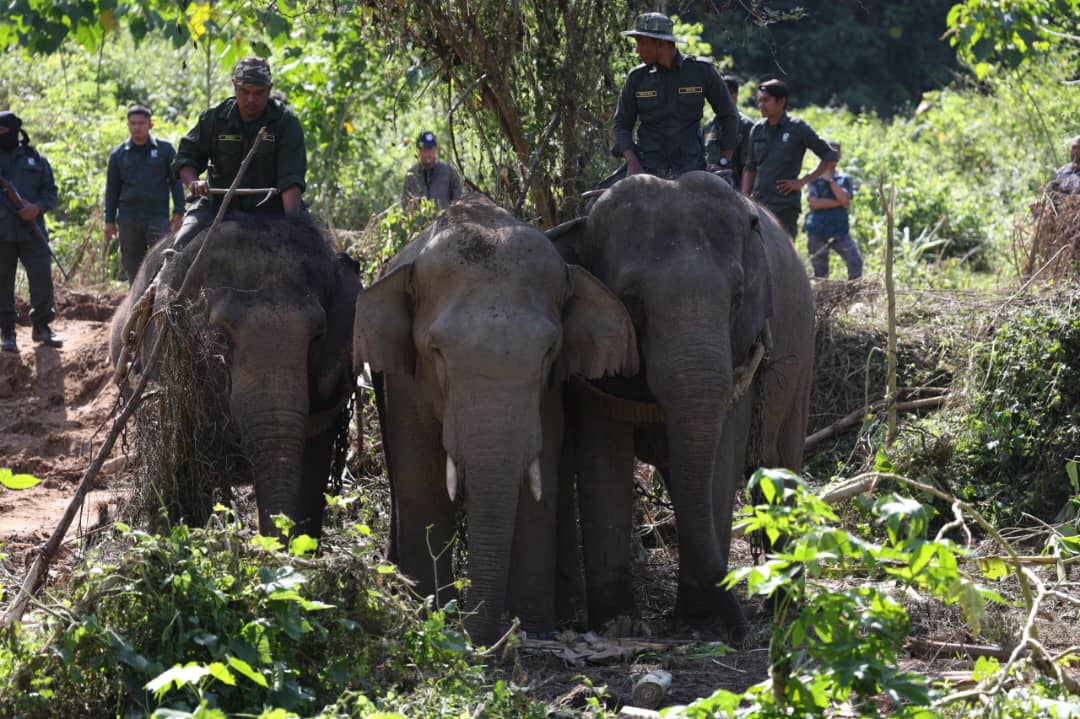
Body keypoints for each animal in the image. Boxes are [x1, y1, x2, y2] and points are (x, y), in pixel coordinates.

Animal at [358, 192, 635, 643]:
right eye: (436, 352)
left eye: (549, 351)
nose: (478, 635)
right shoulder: (405, 383)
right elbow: (421, 478)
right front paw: (430, 615)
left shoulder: (547, 394)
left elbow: (541, 480)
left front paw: (533, 628)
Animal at [548, 170, 812, 634]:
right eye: (631, 299)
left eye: (738, 295)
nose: (742, 634)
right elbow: (601, 452)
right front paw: (618, 624)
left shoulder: (741, 350)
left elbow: (722, 458)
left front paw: (699, 622)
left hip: (803, 364)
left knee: (782, 465)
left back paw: (782, 605)